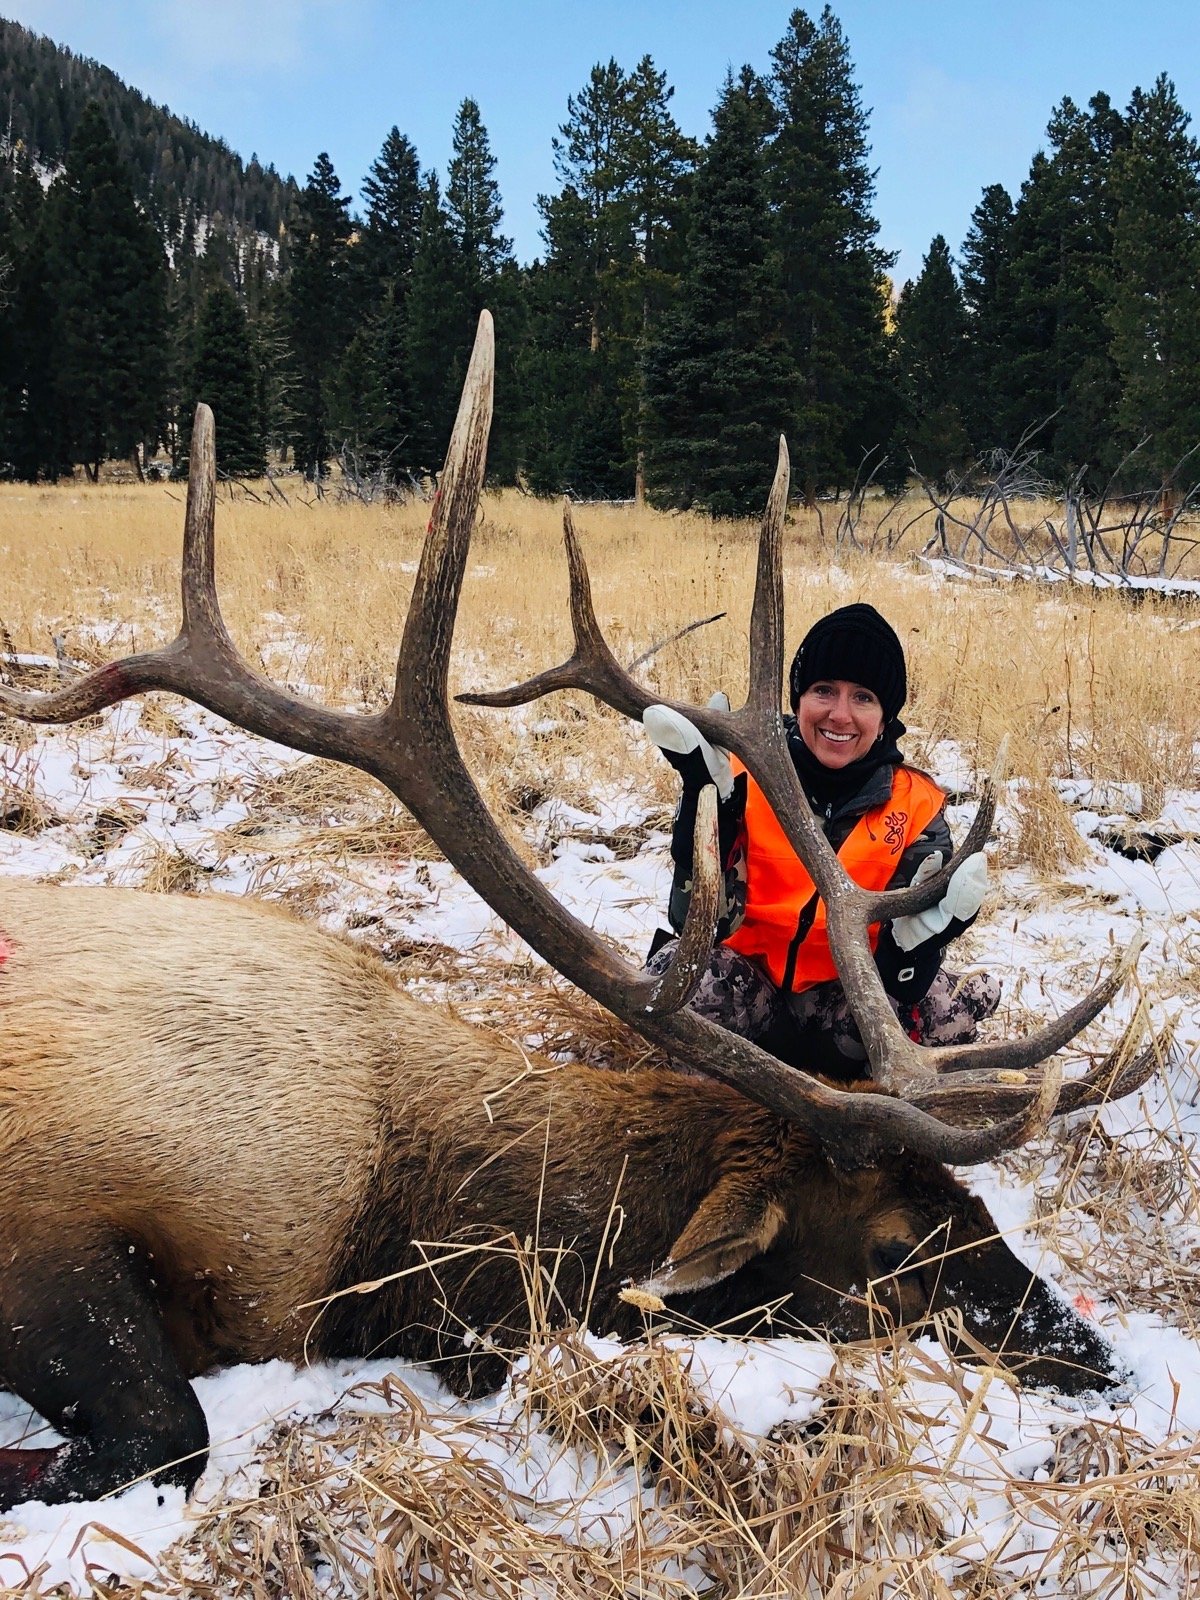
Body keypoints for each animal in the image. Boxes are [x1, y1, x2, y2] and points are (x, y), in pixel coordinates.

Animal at [0, 313, 1160, 1511]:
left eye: (977, 1207)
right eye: (893, 1250)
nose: (1101, 1360)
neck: (378, 1229)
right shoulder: (55, 1212)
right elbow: (167, 1428)